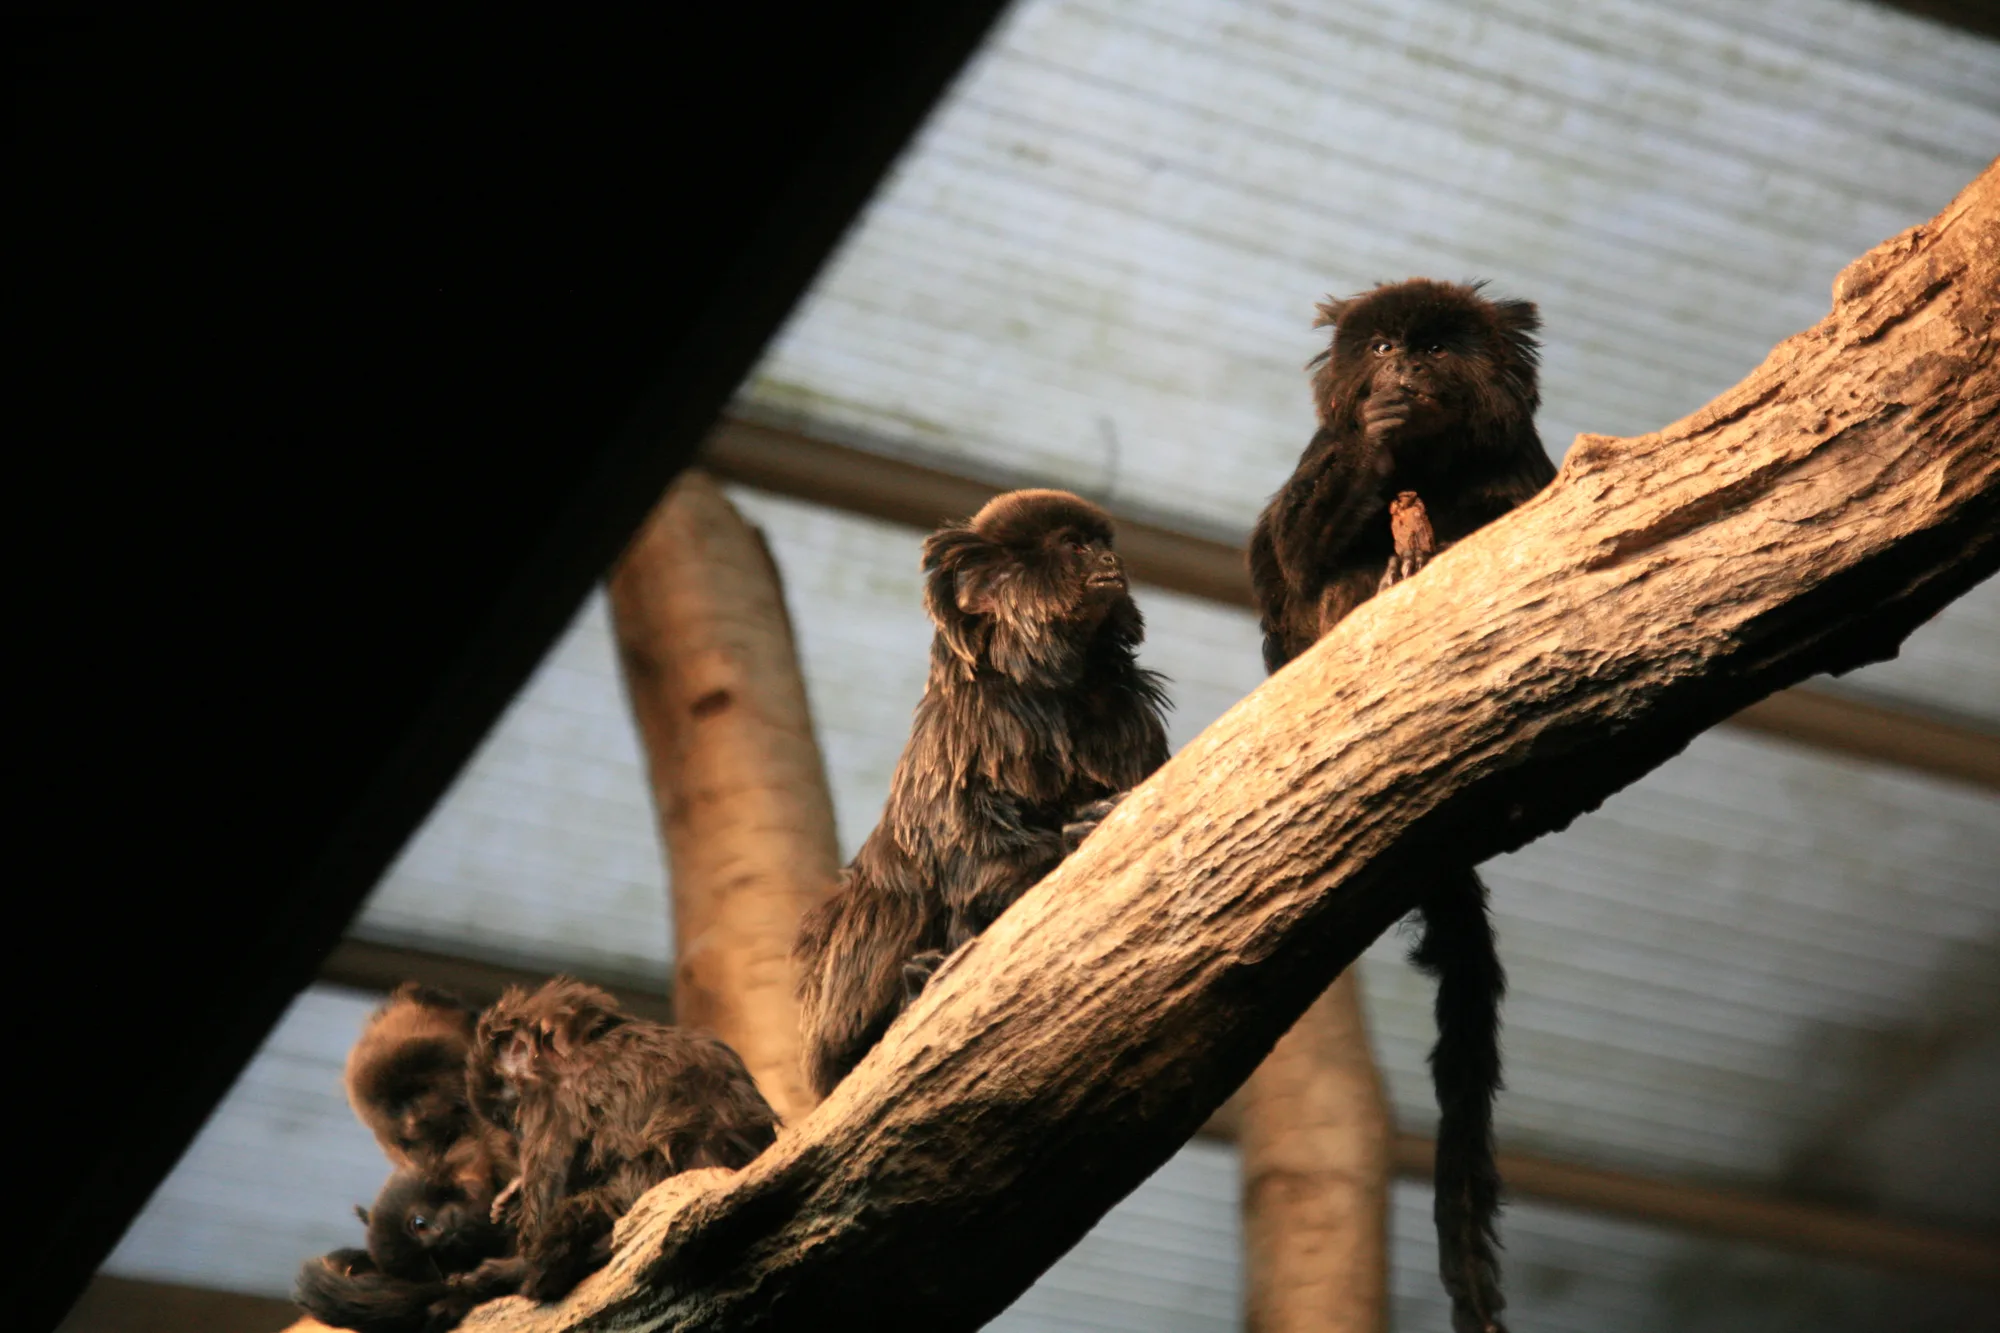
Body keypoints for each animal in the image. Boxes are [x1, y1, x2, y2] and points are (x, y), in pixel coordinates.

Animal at [794, 488, 1172, 1101]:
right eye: (1074, 546)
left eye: (1101, 544)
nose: (1111, 562)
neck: (1049, 693)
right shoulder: (964, 727)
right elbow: (973, 858)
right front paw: (1076, 834)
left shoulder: (1127, 715)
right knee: (888, 893)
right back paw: (905, 990)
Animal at [1248, 279, 1556, 1333]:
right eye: (1383, 347)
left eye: (1434, 348)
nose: (1404, 374)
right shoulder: (1318, 464)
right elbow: (1289, 558)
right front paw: (1381, 440)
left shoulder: (1520, 464)